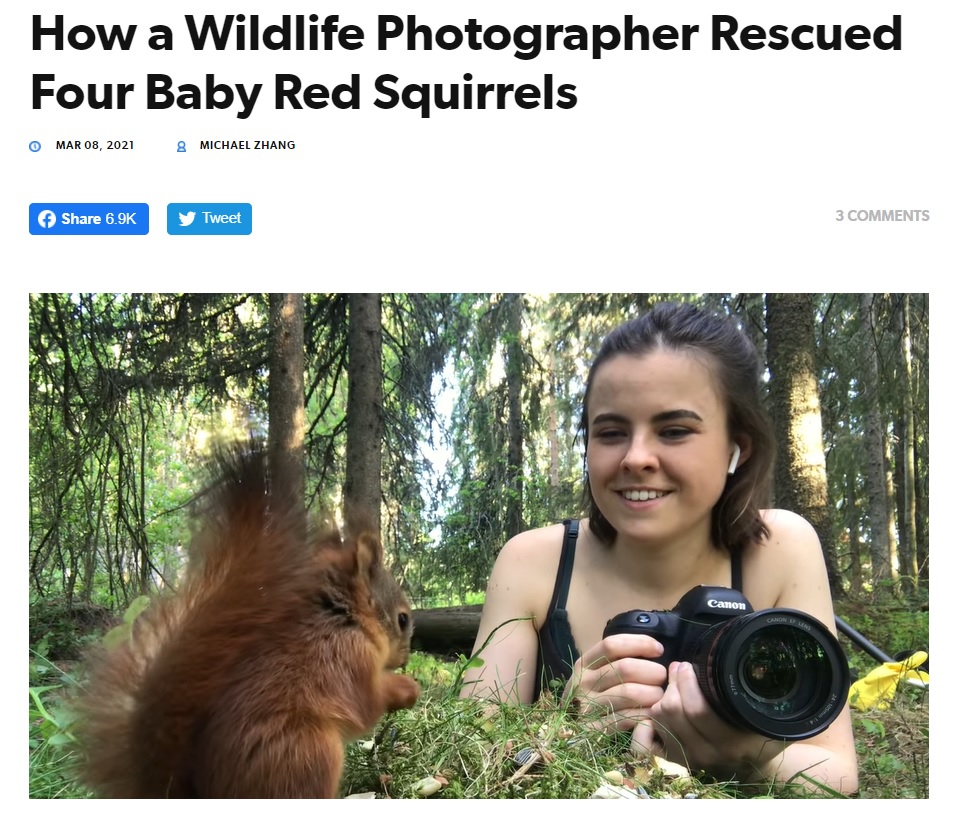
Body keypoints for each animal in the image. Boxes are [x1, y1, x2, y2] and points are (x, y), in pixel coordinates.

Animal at [73, 446, 420, 796]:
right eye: (402, 619)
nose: (405, 659)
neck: (345, 621)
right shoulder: (348, 660)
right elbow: (367, 704)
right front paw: (407, 688)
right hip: (308, 755)